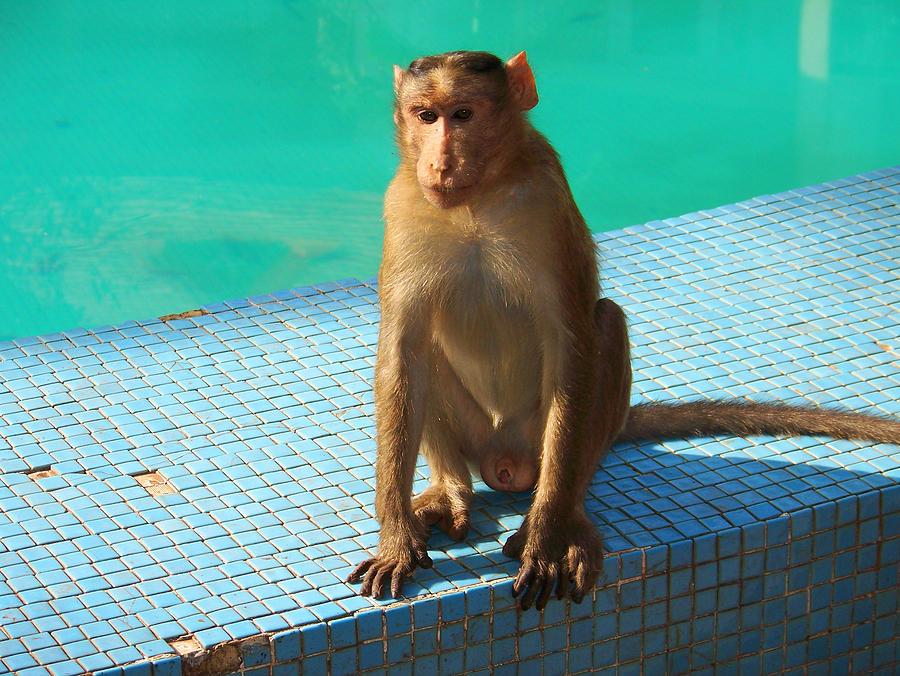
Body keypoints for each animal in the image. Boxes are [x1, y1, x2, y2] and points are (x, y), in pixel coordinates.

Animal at [348, 48, 900, 608]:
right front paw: (396, 538)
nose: (439, 163)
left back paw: (568, 517)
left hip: (542, 437)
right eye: (425, 116)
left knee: (605, 324)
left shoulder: (545, 200)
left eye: (462, 115)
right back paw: (451, 489)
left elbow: (571, 345)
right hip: (476, 434)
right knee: (425, 353)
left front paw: (545, 537)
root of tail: (504, 462)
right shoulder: (403, 205)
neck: (474, 205)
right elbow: (402, 352)